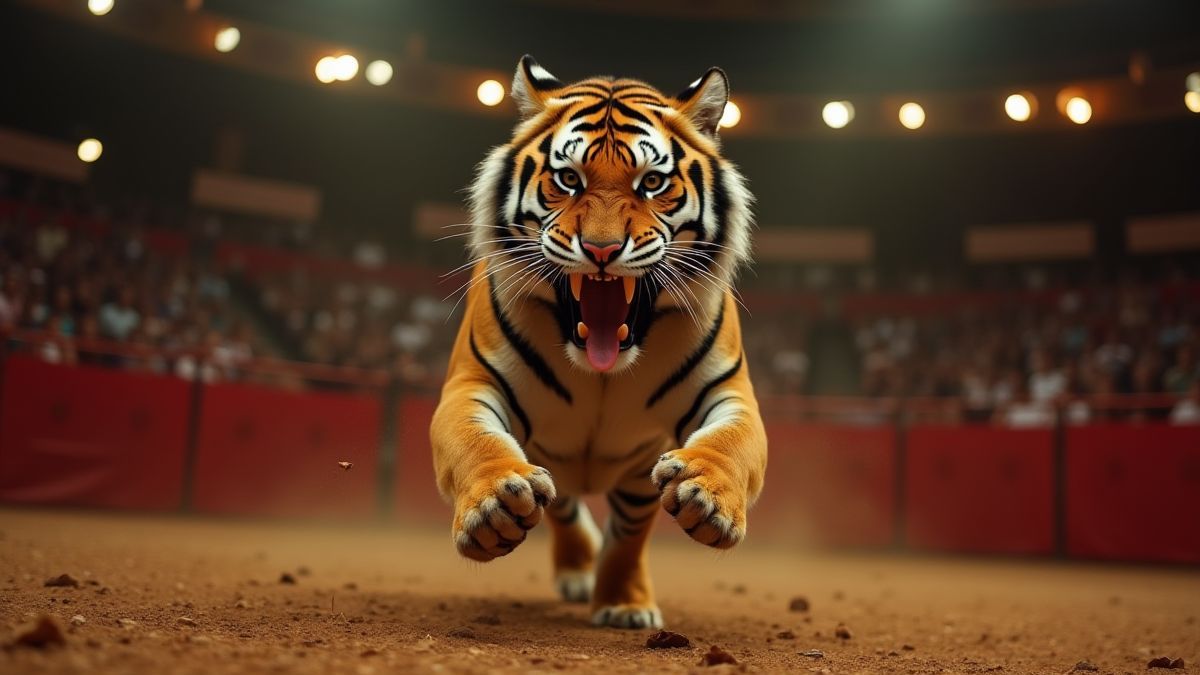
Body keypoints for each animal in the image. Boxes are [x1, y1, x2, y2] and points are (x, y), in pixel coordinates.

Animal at [430, 55, 767, 630]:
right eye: (568, 179)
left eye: (652, 182)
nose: (603, 250)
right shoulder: (473, 383)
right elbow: (472, 440)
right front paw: (495, 505)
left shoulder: (728, 392)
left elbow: (734, 443)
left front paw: (706, 494)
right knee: (565, 505)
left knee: (629, 528)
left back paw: (623, 600)